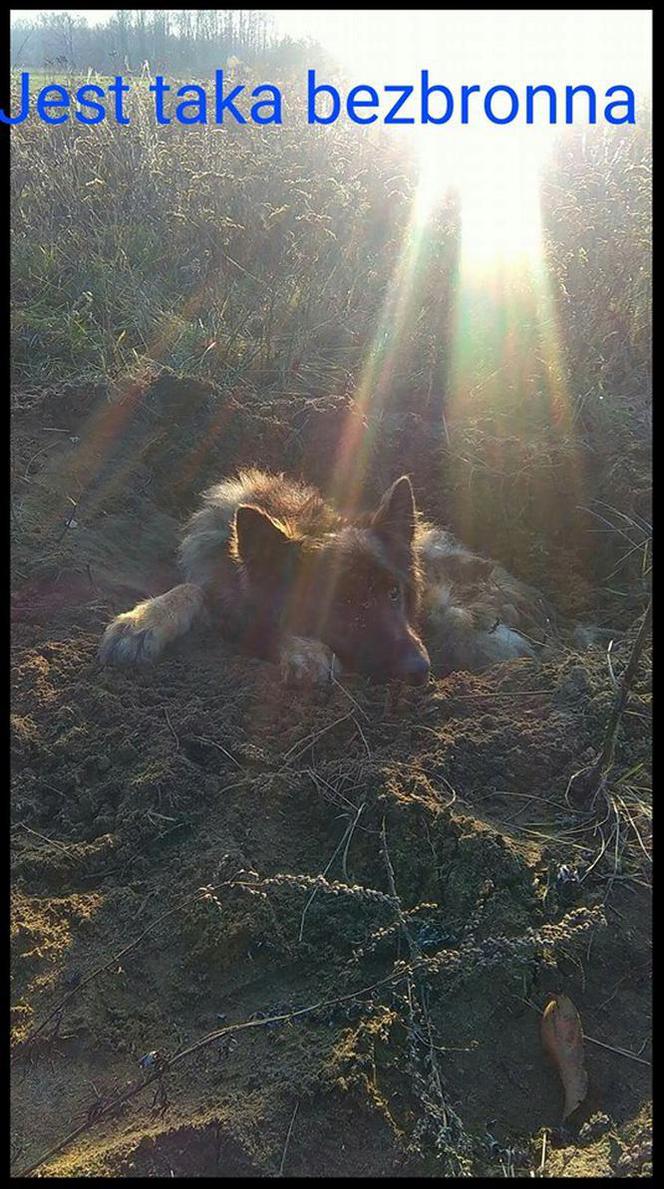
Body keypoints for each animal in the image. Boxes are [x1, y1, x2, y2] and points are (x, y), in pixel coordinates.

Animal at [99, 468, 604, 684]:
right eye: (339, 602)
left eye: (395, 593)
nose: (419, 671)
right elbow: (191, 589)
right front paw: (142, 622)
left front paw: (305, 652)